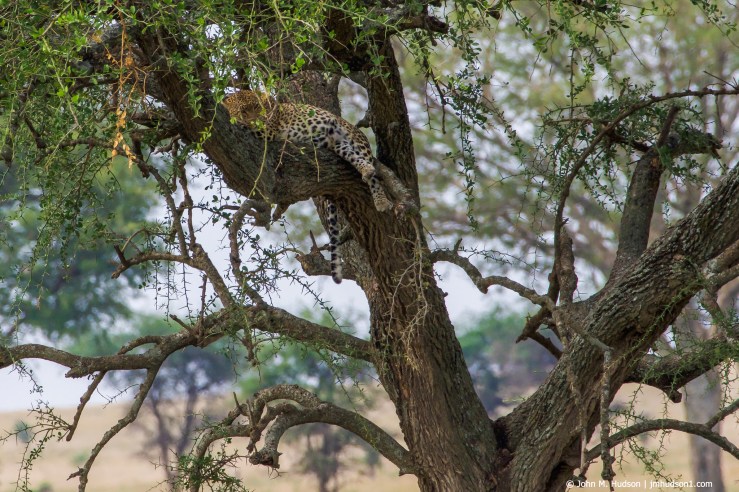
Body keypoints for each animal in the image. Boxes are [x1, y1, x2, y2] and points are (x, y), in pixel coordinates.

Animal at [223, 90, 393, 284]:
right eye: (244, 111)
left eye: (258, 108)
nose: (257, 119)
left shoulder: (268, 130)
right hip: (340, 146)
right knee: (359, 162)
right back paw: (366, 170)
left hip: (356, 143)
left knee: (373, 176)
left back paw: (381, 201)